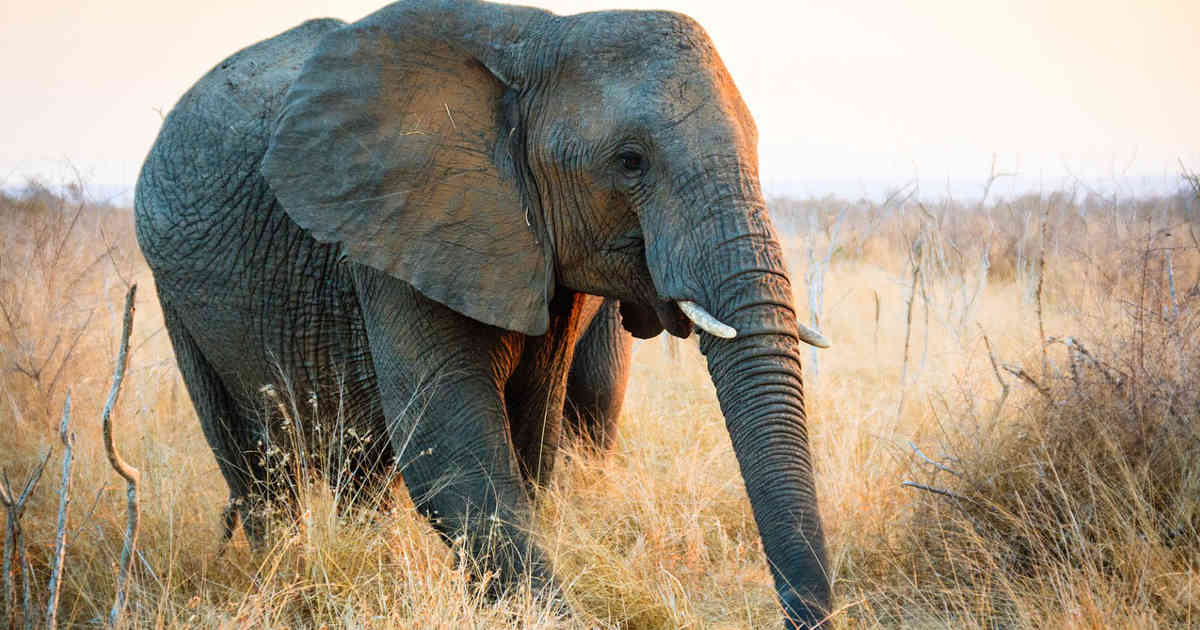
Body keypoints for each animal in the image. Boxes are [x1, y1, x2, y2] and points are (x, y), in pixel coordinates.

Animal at [133, 1, 832, 627]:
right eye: (630, 161)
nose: (805, 617)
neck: (540, 39)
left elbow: (527, 439)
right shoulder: (404, 226)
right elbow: (451, 446)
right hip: (176, 294)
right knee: (253, 466)